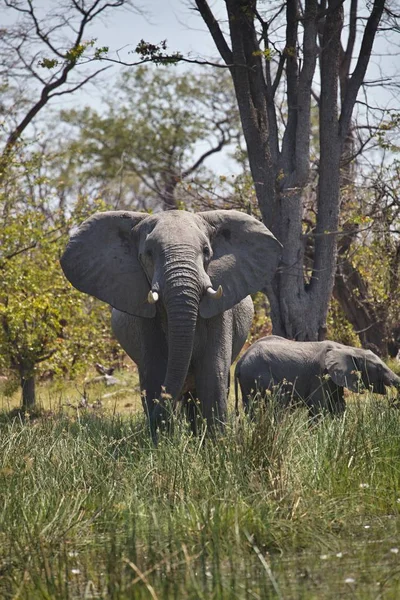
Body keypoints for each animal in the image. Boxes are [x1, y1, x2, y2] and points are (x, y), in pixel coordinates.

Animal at [61, 210, 282, 432]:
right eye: (149, 253)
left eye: (206, 250)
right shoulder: (145, 320)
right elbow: (156, 374)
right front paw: (162, 439)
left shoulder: (220, 313)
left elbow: (212, 375)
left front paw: (216, 439)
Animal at [234, 336, 400, 420]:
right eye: (379, 368)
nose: (393, 402)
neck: (349, 349)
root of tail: (240, 362)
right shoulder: (319, 376)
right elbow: (319, 407)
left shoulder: (333, 379)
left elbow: (338, 406)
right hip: (256, 374)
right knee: (273, 403)